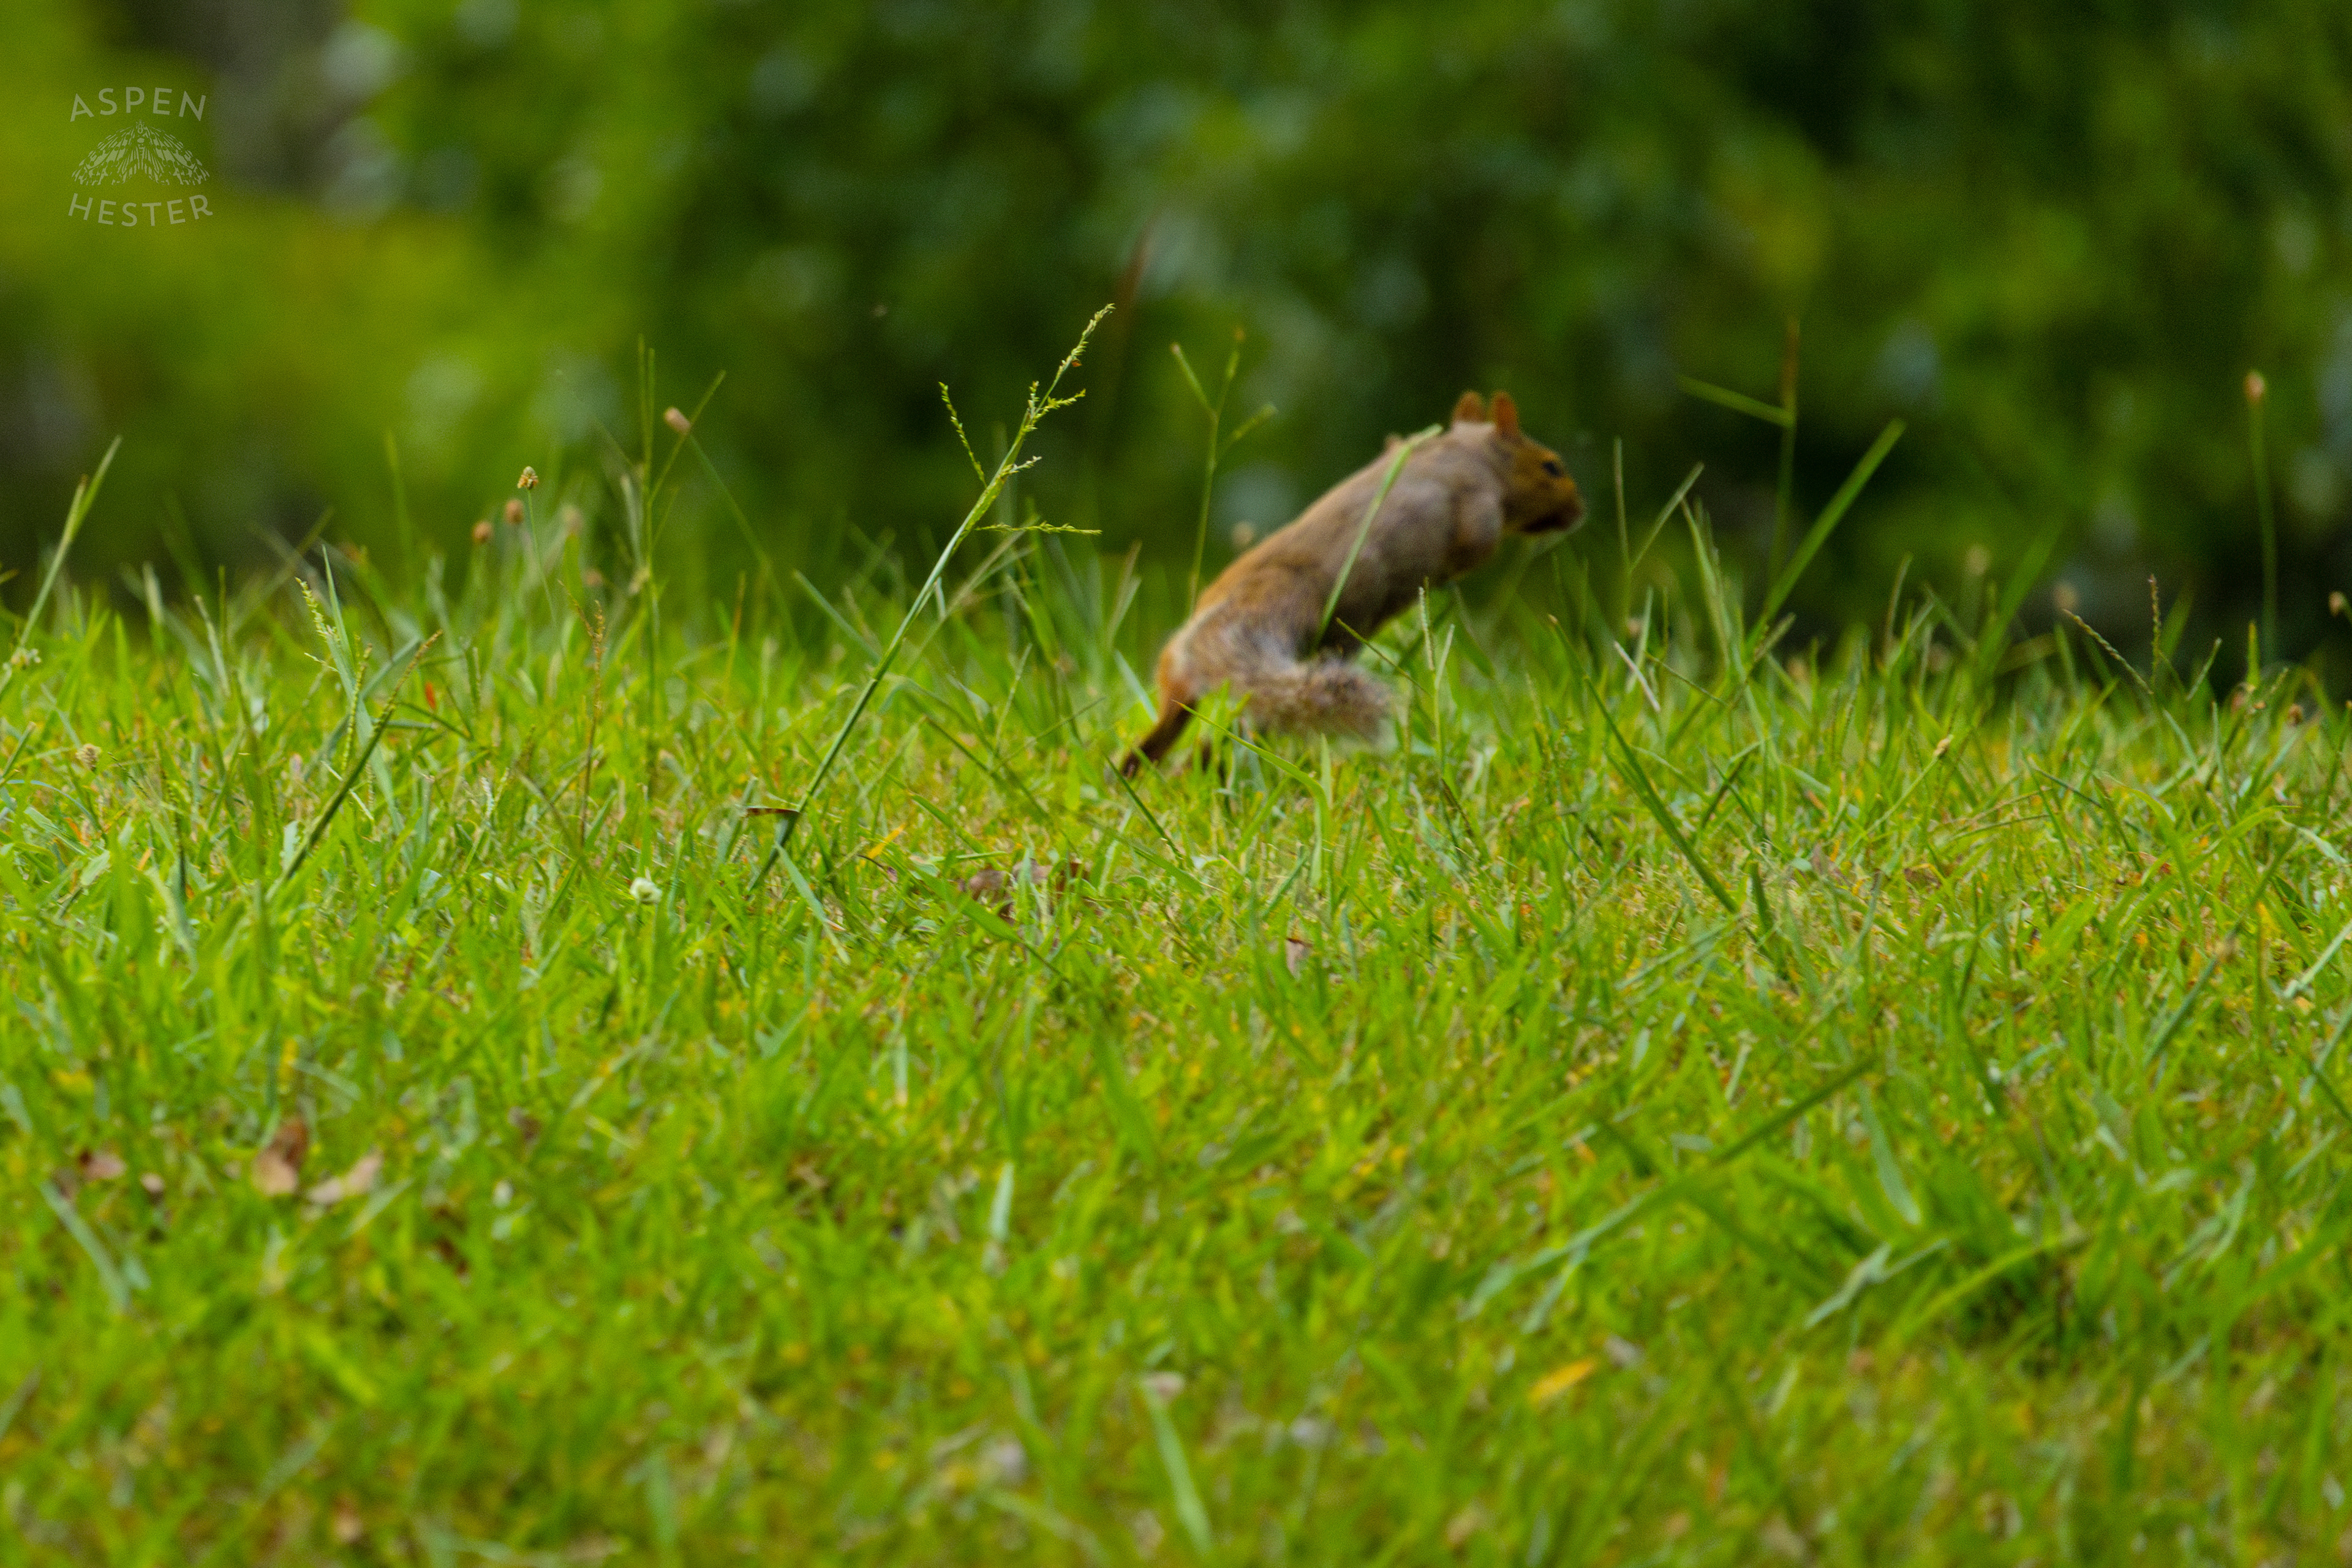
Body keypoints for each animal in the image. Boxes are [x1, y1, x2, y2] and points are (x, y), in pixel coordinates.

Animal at [1121, 390, 1583, 775]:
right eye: (1551, 467)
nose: (1578, 511)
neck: (1465, 450)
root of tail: (1239, 611)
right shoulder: (1479, 509)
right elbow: (1472, 549)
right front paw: (1445, 580)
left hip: (1176, 681)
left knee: (1169, 729)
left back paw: (1133, 771)